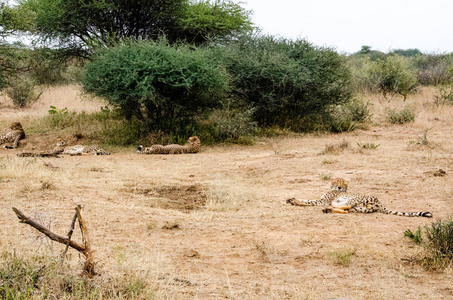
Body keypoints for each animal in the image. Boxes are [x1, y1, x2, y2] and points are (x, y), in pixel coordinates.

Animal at [286, 178, 430, 218]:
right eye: (336, 182)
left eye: (342, 183)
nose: (339, 188)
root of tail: (379, 202)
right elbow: (305, 199)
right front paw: (291, 199)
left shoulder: (321, 201)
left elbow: (308, 201)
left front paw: (294, 201)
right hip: (360, 208)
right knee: (346, 210)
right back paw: (329, 210)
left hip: (354, 201)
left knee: (346, 206)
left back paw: (328, 208)